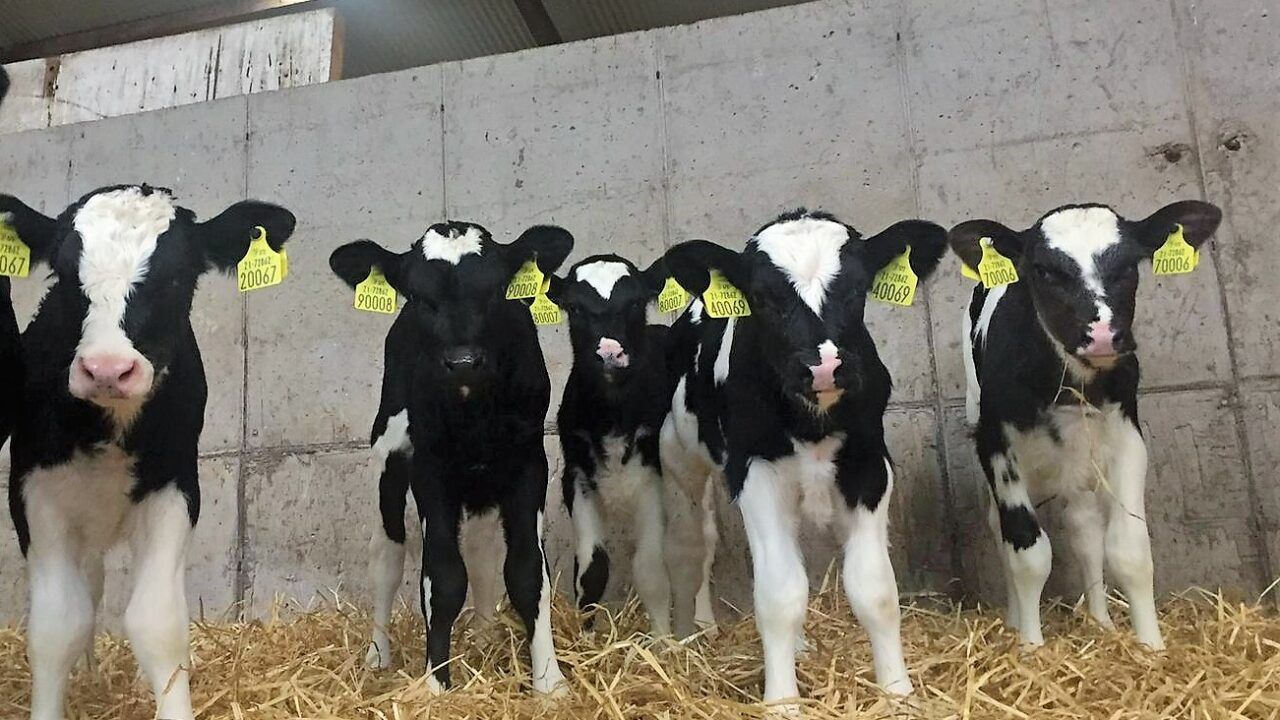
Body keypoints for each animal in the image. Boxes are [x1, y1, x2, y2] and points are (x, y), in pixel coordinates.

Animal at [2, 185, 296, 720]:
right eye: (64, 271)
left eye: (177, 276)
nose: (106, 368)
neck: (110, 430)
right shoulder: (35, 492)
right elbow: (57, 625)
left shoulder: (174, 488)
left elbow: (157, 622)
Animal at [329, 221, 573, 695]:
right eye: (419, 295)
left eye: (496, 290)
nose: (462, 361)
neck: (473, 411)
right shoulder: (429, 468)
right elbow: (442, 578)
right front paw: (435, 684)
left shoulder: (528, 462)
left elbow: (527, 572)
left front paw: (549, 683)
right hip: (388, 452)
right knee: (386, 554)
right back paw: (377, 655)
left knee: (480, 551)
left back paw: (483, 634)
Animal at [545, 254, 675, 634]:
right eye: (574, 307)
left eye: (634, 302)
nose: (609, 353)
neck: (613, 415)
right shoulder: (576, 477)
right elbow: (592, 570)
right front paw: (584, 636)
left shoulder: (655, 477)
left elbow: (651, 571)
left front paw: (664, 640)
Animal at [658, 208, 948, 706]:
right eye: (761, 296)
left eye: (857, 287)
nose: (824, 366)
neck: (812, 423)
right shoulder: (755, 474)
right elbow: (778, 596)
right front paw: (782, 702)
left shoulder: (869, 467)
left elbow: (875, 590)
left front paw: (898, 693)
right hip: (680, 460)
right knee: (697, 543)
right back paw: (697, 630)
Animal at [949, 200, 1223, 649]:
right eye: (1044, 270)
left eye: (1128, 264)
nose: (1103, 335)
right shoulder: (996, 443)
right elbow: (1027, 552)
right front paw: (1031, 647)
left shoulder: (1128, 436)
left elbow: (1129, 549)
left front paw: (1151, 647)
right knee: (999, 526)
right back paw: (1015, 620)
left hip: (1080, 456)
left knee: (1085, 528)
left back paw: (1100, 621)